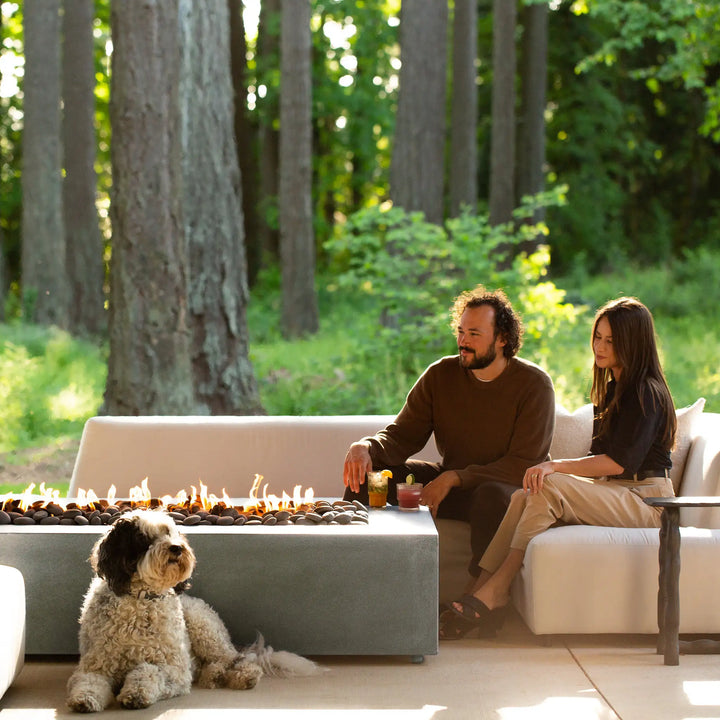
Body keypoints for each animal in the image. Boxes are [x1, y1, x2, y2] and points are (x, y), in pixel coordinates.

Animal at [67, 510, 318, 712]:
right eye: (142, 537)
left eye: (170, 533)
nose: (176, 548)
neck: (141, 599)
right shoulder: (95, 666)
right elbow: (88, 682)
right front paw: (85, 699)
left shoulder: (175, 671)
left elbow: (148, 671)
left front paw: (136, 693)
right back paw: (213, 674)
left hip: (205, 630)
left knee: (238, 659)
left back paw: (243, 675)